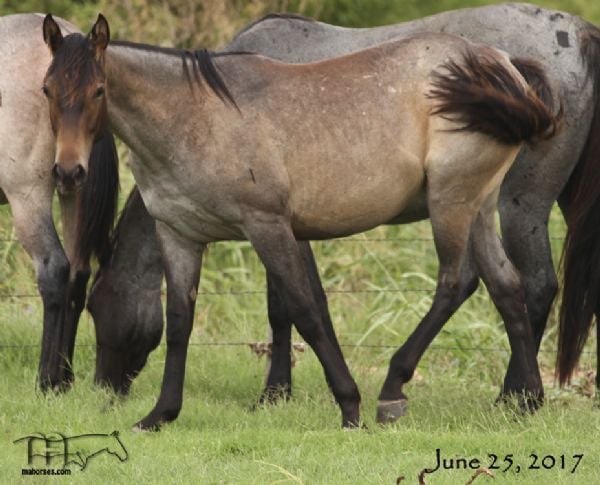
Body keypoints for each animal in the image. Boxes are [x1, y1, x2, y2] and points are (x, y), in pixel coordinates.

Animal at [0, 14, 118, 390]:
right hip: (71, 189)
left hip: (29, 198)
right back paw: (64, 379)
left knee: (55, 271)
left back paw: (47, 380)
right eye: (48, 90)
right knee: (77, 274)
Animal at [41, 12, 556, 428]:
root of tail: (503, 65)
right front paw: (161, 415)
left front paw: (348, 406)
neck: (195, 117)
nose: (68, 172)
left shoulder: (268, 226)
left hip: (450, 200)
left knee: (453, 282)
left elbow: (305, 309)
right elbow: (181, 321)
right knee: (506, 285)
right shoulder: (180, 235)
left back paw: (393, 391)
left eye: (99, 90)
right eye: (47, 90)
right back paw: (526, 400)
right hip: (479, 204)